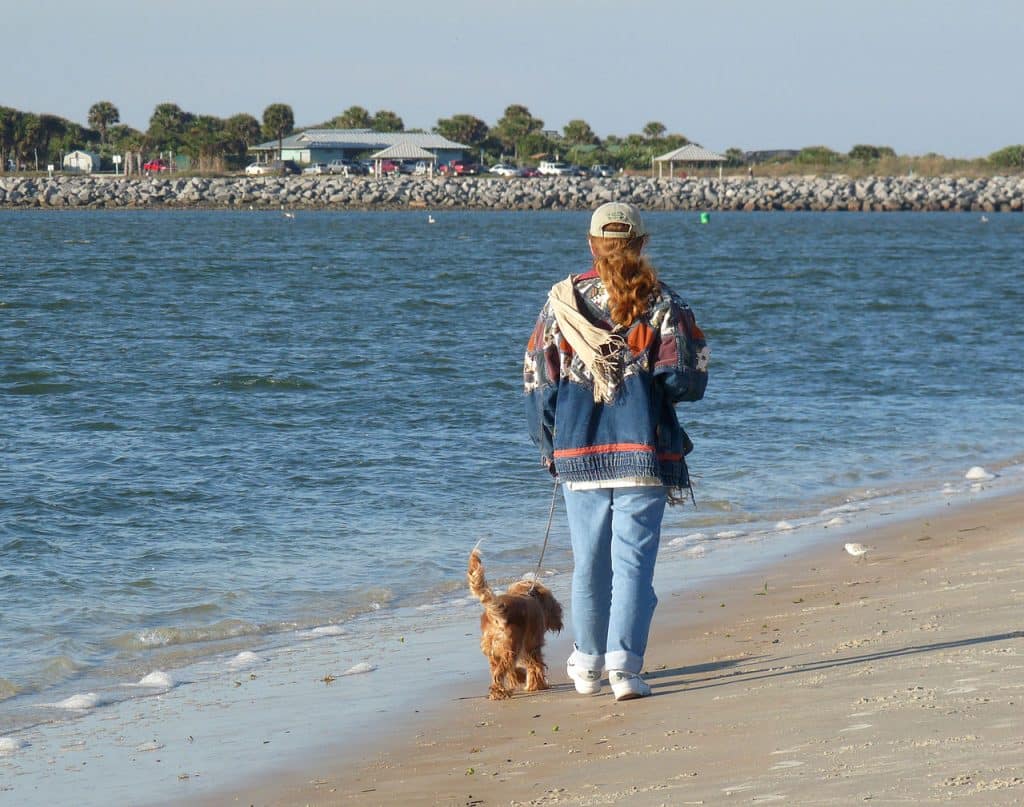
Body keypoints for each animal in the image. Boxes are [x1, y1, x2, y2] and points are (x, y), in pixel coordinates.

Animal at [468, 548, 565, 700]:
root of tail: (494, 614)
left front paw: (524, 679)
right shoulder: (532, 646)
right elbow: (535, 666)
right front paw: (537, 685)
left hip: (495, 650)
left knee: (498, 671)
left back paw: (500, 690)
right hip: (512, 646)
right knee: (502, 671)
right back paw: (501, 692)